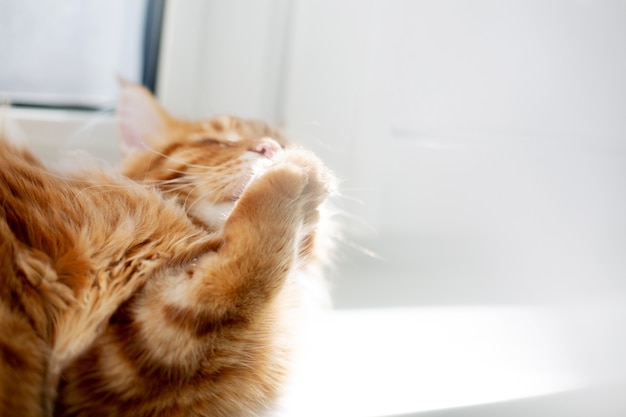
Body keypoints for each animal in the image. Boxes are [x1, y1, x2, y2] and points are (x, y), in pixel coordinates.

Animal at [52, 82, 336, 416]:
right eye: (214, 141)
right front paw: (297, 170)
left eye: (278, 142)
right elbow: (237, 276)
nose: (270, 148)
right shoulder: (116, 359)